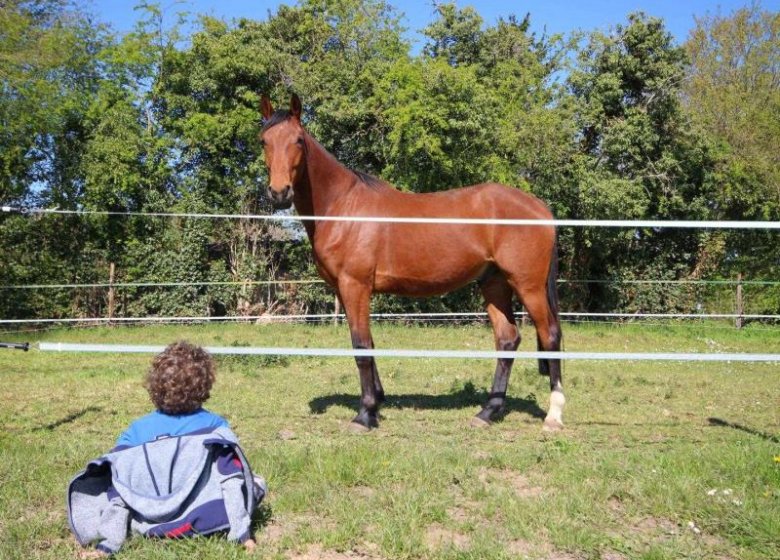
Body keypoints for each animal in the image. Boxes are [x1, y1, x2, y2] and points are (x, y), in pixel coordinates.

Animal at [264, 94, 568, 430]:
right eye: (264, 140)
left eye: (298, 140)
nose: (279, 193)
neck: (343, 207)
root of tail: (539, 207)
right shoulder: (346, 291)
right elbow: (368, 343)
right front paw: (376, 403)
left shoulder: (355, 286)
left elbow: (361, 347)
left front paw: (364, 414)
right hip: (494, 284)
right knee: (507, 340)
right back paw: (488, 412)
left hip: (528, 285)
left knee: (550, 335)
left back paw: (553, 415)